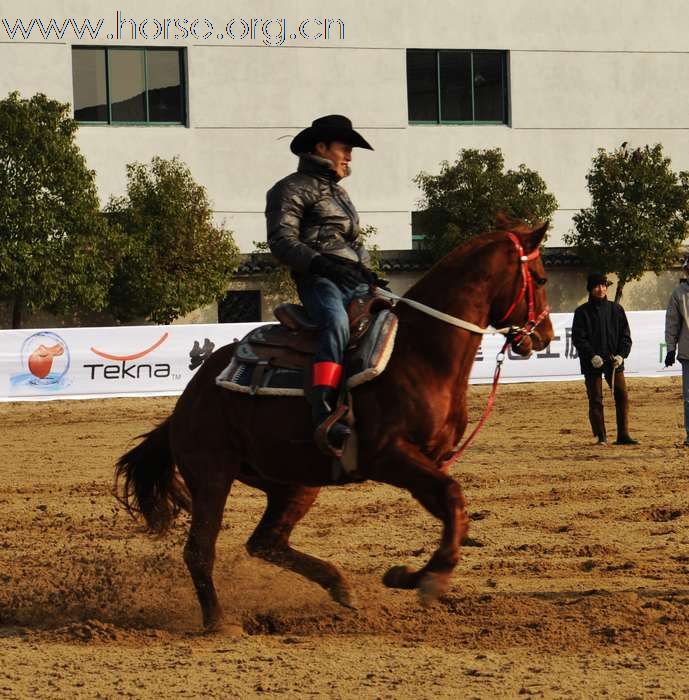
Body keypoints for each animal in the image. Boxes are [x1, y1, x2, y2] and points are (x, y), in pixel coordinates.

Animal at [115, 216, 552, 632]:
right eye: (541, 278)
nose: (545, 335)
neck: (419, 352)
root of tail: (187, 401)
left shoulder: (428, 462)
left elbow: (454, 513)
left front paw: (406, 575)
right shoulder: (390, 456)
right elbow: (453, 498)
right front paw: (429, 579)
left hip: (293, 482)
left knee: (266, 542)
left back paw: (340, 586)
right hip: (212, 475)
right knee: (200, 549)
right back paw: (219, 622)